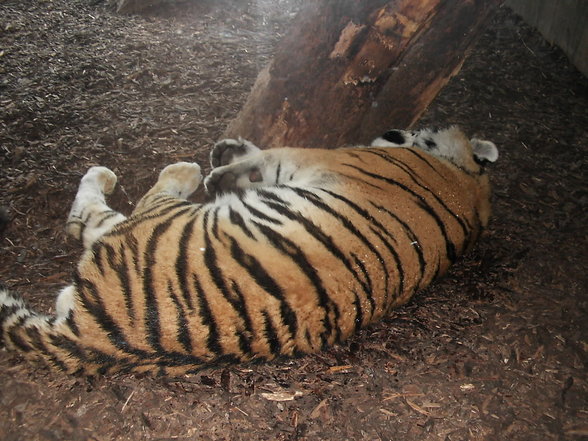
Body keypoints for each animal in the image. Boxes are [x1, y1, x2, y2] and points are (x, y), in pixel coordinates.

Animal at [0, 125, 496, 376]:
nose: (393, 126)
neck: (471, 181)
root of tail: (92, 340)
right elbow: (255, 157)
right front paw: (229, 150)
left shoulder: (315, 155)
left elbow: (267, 155)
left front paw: (218, 169)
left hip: (155, 223)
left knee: (95, 216)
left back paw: (156, 171)